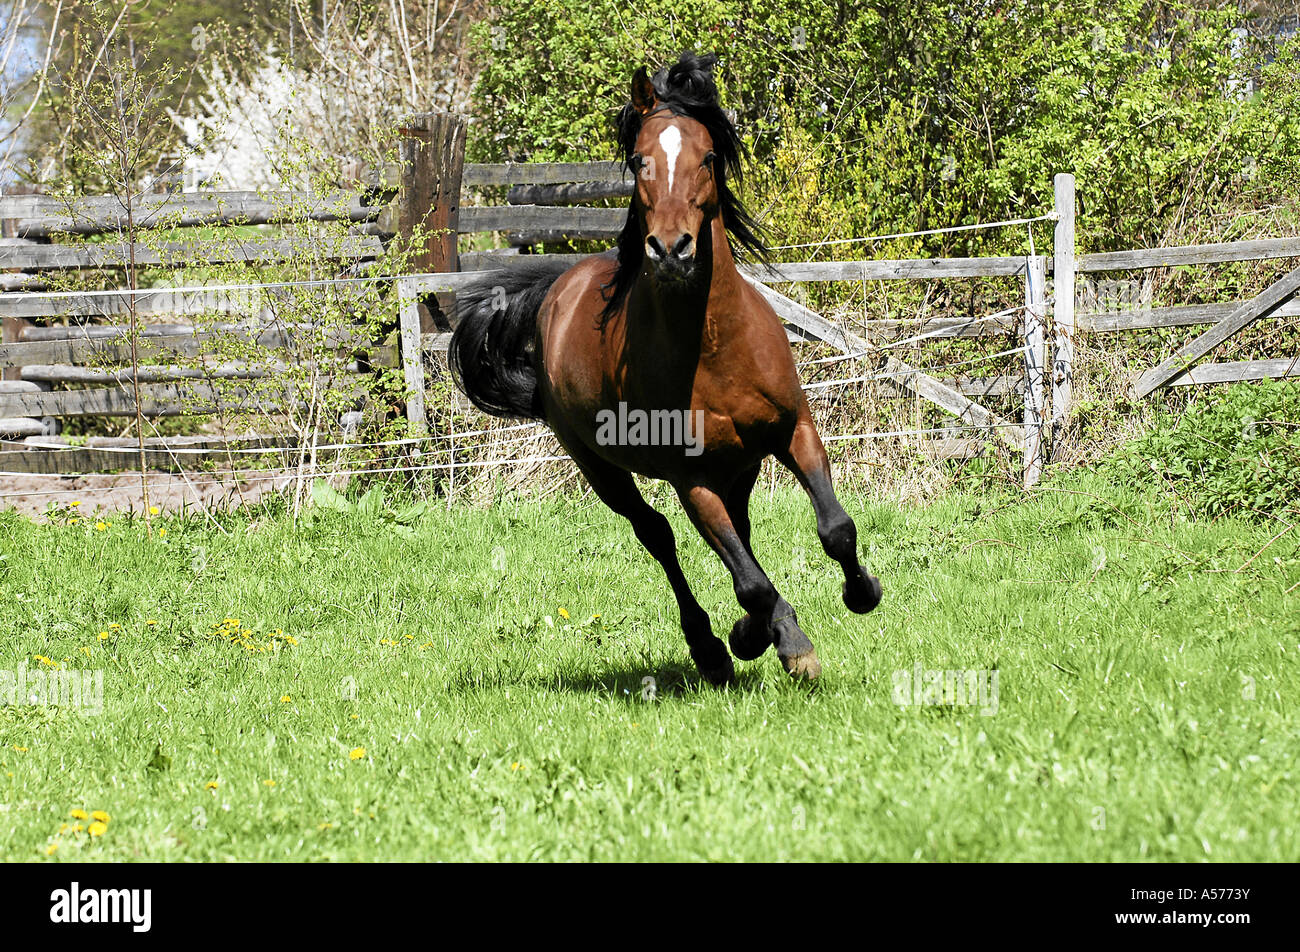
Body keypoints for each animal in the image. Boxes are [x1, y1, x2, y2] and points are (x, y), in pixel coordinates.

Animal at [449, 52, 883, 686]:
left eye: (707, 157)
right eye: (639, 160)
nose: (672, 249)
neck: (713, 345)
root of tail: (557, 289)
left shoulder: (793, 431)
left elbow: (835, 528)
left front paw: (861, 593)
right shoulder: (691, 479)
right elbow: (750, 581)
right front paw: (789, 644)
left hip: (740, 464)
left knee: (738, 532)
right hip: (602, 469)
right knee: (660, 537)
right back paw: (713, 647)